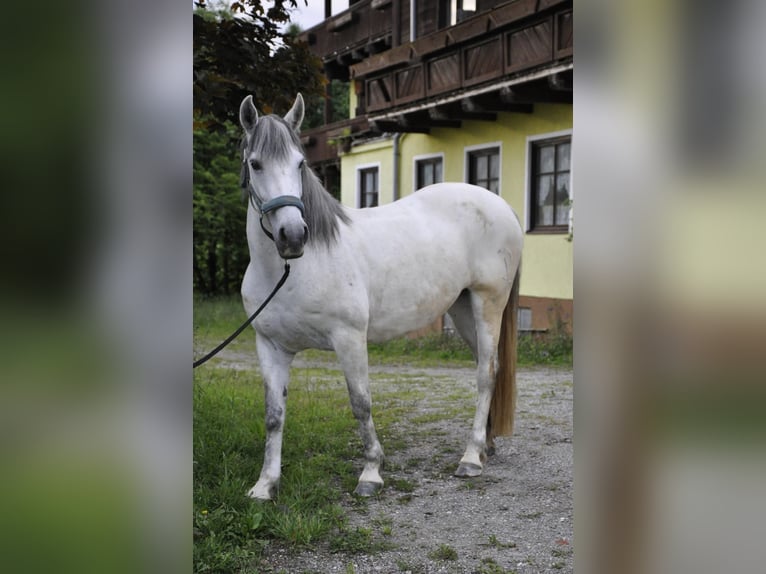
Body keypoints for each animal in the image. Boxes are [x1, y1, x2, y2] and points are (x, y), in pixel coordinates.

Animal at [238, 93, 523, 500]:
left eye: (300, 163)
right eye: (255, 163)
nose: (292, 235)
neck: (292, 270)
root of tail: (501, 205)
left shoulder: (349, 339)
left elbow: (361, 403)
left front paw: (371, 472)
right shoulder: (271, 346)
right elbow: (274, 416)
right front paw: (265, 485)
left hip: (489, 304)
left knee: (485, 374)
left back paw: (470, 458)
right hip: (463, 308)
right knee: (491, 367)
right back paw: (486, 445)